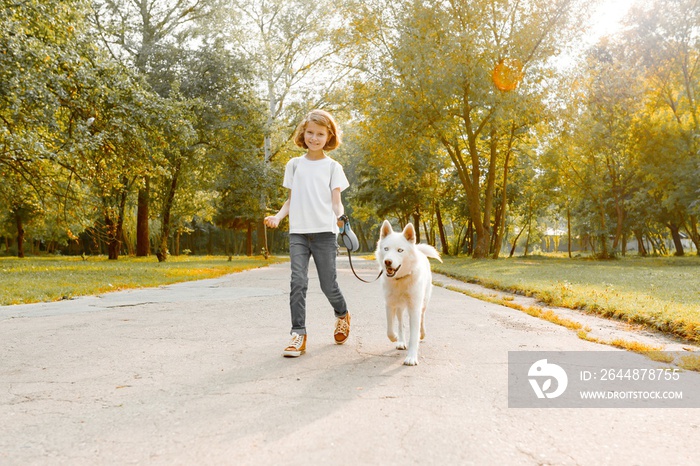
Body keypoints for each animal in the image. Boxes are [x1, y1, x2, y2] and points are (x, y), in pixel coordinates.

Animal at [378, 220, 442, 366]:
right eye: (386, 249)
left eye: (400, 250)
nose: (387, 262)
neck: (400, 279)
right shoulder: (389, 304)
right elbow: (390, 329)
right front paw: (396, 338)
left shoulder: (414, 307)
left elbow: (414, 335)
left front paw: (411, 357)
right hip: (400, 307)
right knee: (401, 323)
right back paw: (401, 341)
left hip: (423, 303)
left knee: (422, 318)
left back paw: (422, 333)